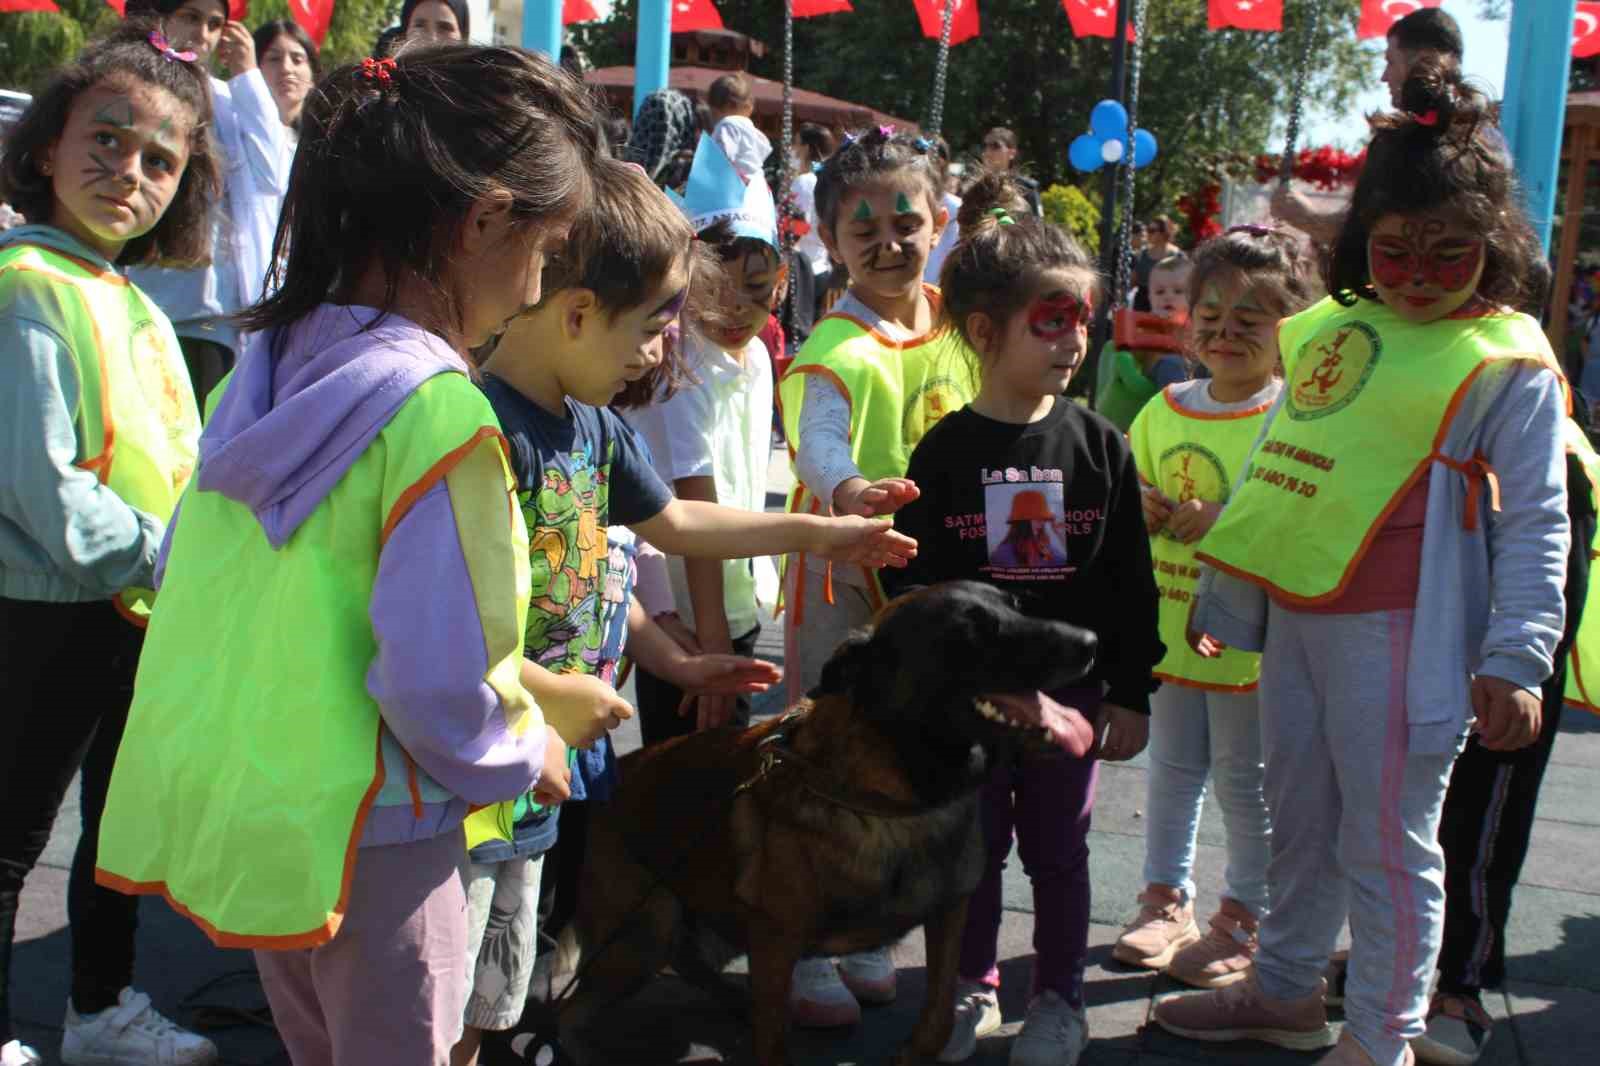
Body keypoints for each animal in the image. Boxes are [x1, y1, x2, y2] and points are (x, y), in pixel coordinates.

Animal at [556, 582, 1094, 1062]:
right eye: (970, 631)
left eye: (1018, 605)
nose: (1090, 642)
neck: (894, 798)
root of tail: (609, 782)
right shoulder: (775, 941)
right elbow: (773, 1045)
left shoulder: (949, 916)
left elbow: (938, 1015)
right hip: (643, 933)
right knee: (570, 1011)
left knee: (687, 964)